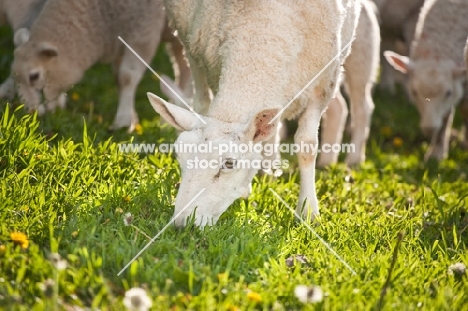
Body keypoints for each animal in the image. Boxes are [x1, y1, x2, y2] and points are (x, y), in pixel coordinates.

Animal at [9, 0, 166, 130]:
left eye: (34, 76)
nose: (32, 111)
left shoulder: (144, 32)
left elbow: (127, 77)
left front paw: (123, 121)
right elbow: (118, 78)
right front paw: (132, 118)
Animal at [148, 0, 360, 227]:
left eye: (229, 164)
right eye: (180, 156)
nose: (181, 223)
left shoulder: (324, 84)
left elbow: (307, 145)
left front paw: (308, 211)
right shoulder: (203, 56)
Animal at [384, 0, 468, 161]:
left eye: (449, 93)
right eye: (414, 92)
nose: (429, 129)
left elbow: (463, 107)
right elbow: (445, 116)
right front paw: (436, 153)